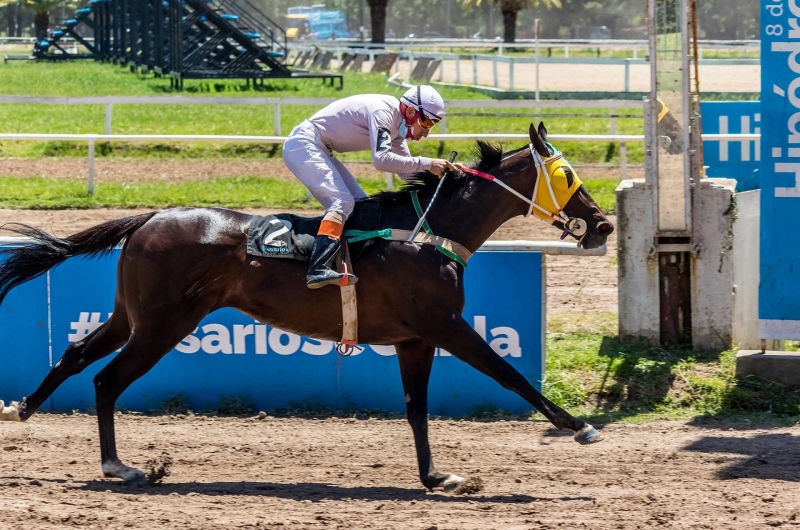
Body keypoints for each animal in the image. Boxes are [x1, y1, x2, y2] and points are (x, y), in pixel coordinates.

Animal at [0, 124, 612, 490]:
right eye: (568, 177)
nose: (603, 225)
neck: (428, 233)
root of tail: (148, 217)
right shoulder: (446, 325)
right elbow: (512, 376)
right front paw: (579, 426)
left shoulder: (415, 339)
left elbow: (416, 408)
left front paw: (438, 477)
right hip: (162, 325)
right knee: (107, 378)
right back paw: (119, 465)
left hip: (134, 315)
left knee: (77, 353)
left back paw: (23, 409)